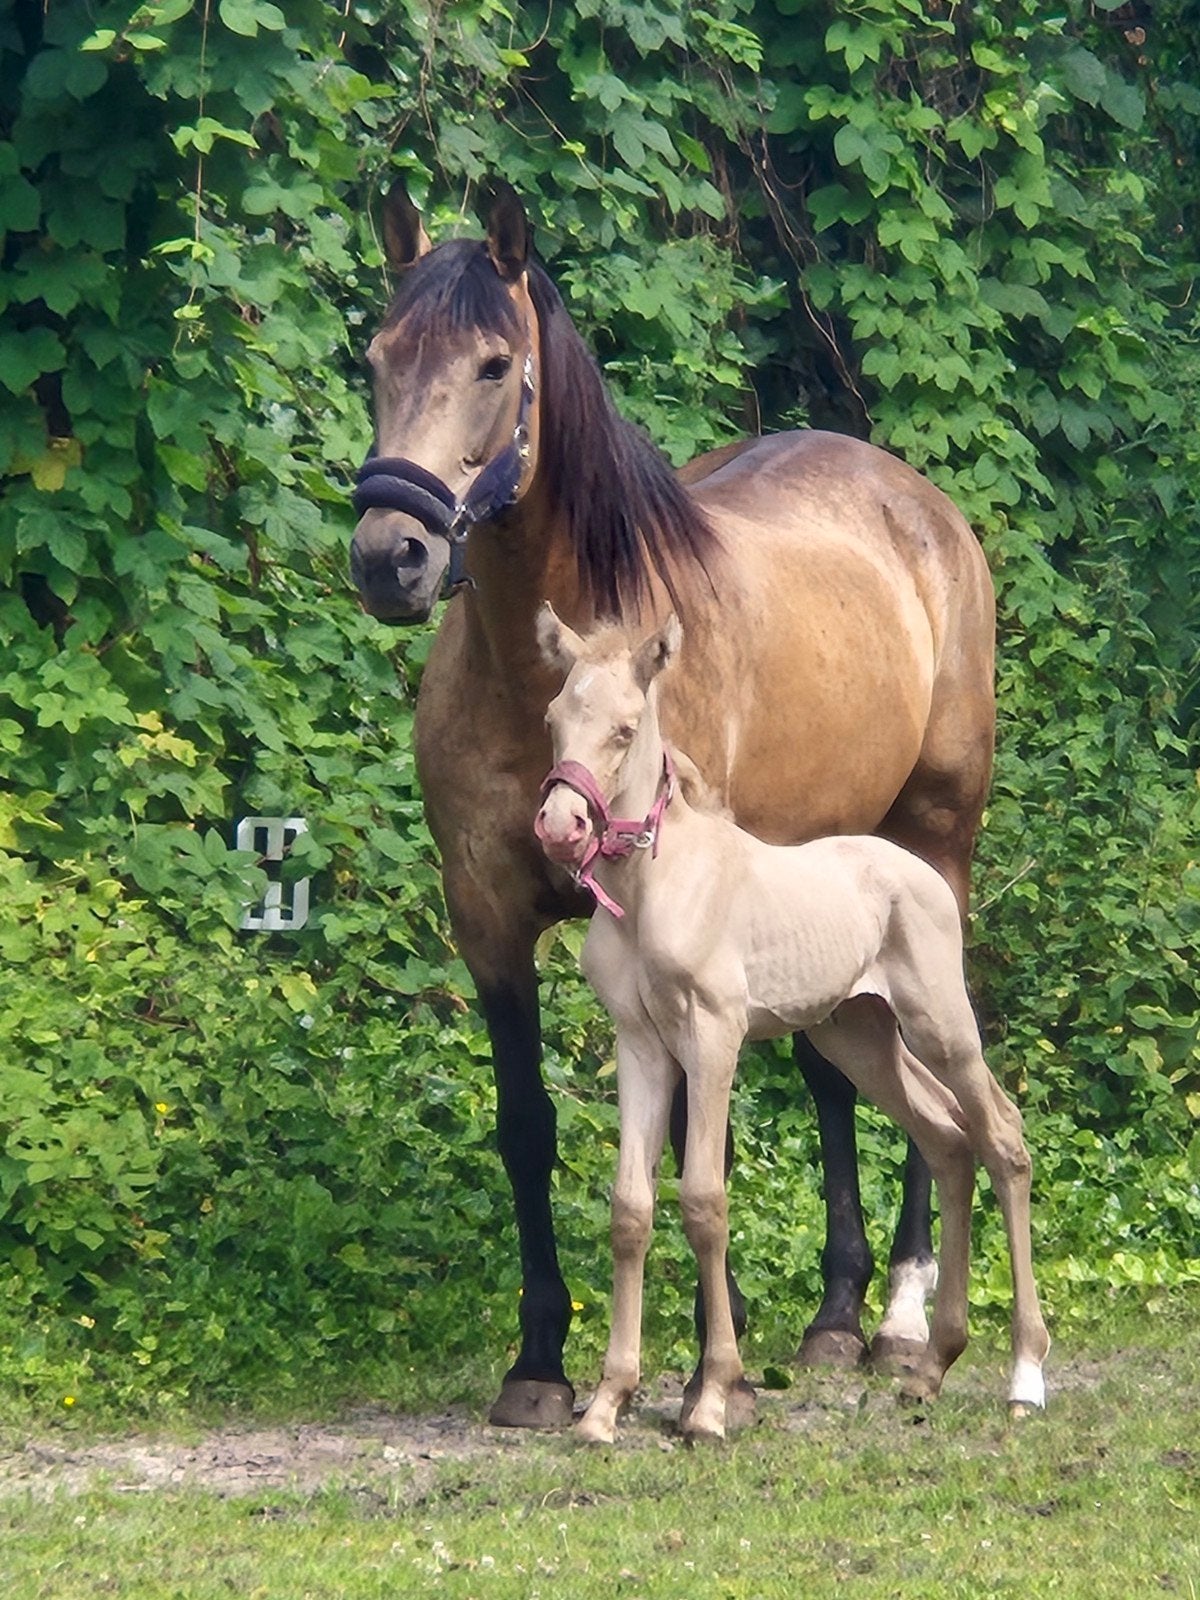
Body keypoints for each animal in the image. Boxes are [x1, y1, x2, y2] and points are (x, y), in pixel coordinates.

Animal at [349, 182, 996, 1430]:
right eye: (378, 356)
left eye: (495, 364)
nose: (389, 555)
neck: (551, 672)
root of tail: (923, 509)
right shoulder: (488, 917)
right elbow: (530, 1126)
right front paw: (542, 1361)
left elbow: (706, 1137)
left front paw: (708, 1372)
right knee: (835, 1073)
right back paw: (835, 1316)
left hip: (933, 850)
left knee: (929, 1088)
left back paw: (899, 1319)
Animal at [533, 605, 1047, 1442]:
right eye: (553, 720)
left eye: (624, 728)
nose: (558, 825)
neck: (650, 888)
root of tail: (925, 874)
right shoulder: (642, 1045)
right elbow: (632, 1208)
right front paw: (607, 1404)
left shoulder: (713, 1036)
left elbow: (704, 1199)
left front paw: (712, 1400)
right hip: (857, 1035)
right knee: (946, 1137)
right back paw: (931, 1367)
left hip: (937, 1022)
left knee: (1000, 1134)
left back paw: (1026, 1375)